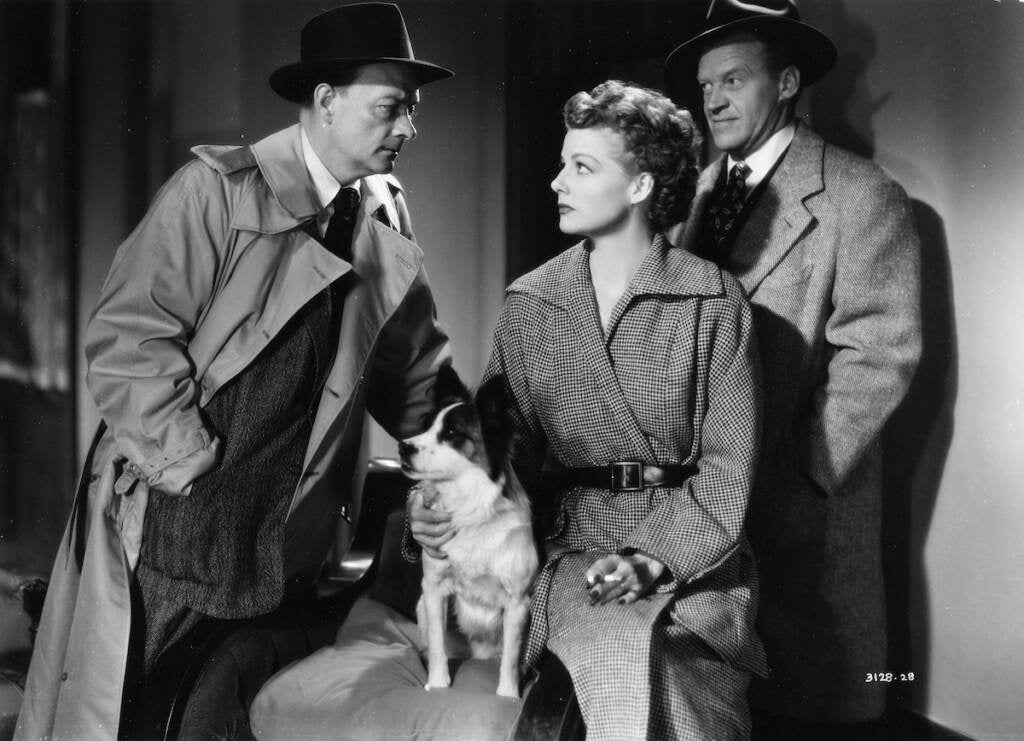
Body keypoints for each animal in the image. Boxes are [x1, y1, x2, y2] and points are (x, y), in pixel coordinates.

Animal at [399, 368, 540, 695]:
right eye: (426, 426)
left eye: (452, 433)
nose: (403, 446)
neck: (470, 511)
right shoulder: (434, 588)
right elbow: (438, 647)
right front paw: (438, 686)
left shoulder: (517, 602)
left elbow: (510, 659)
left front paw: (508, 696)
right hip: (422, 606)